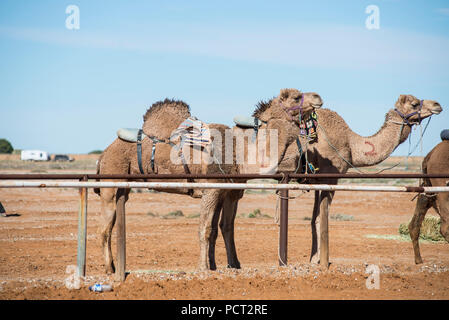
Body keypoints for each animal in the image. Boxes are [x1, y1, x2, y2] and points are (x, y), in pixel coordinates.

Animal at [96, 89, 324, 274]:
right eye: (296, 96)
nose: (318, 97)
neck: (240, 154)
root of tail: (105, 152)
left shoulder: (227, 191)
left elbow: (222, 227)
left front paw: (227, 265)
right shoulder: (211, 189)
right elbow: (205, 228)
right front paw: (204, 267)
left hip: (123, 188)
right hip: (110, 181)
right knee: (104, 228)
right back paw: (109, 268)